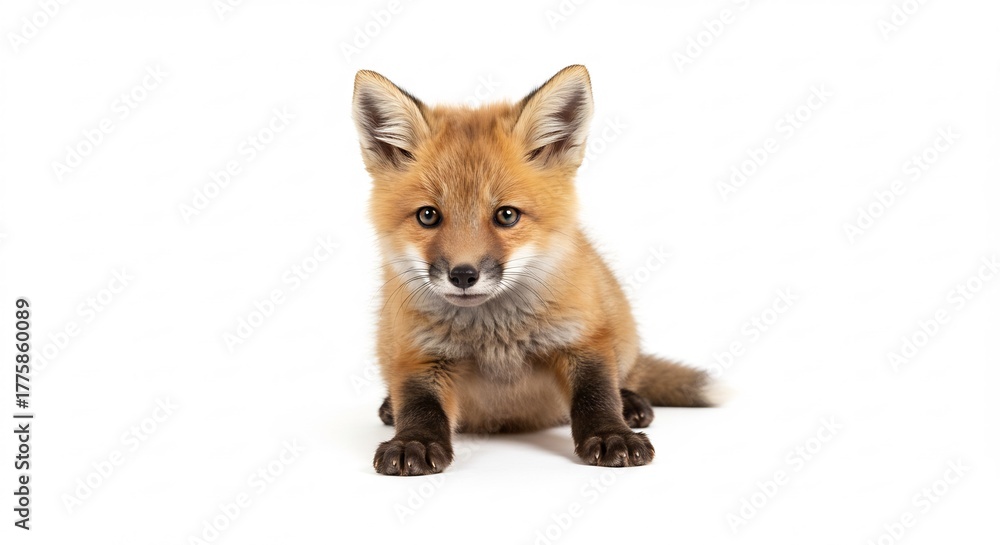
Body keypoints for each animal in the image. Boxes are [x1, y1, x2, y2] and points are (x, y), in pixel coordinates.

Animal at [352, 65, 719, 476]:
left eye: (507, 215)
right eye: (428, 215)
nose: (463, 275)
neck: (496, 340)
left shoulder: (583, 336)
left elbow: (597, 394)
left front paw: (611, 434)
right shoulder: (415, 353)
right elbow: (418, 404)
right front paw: (413, 441)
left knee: (628, 375)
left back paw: (632, 403)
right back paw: (388, 408)